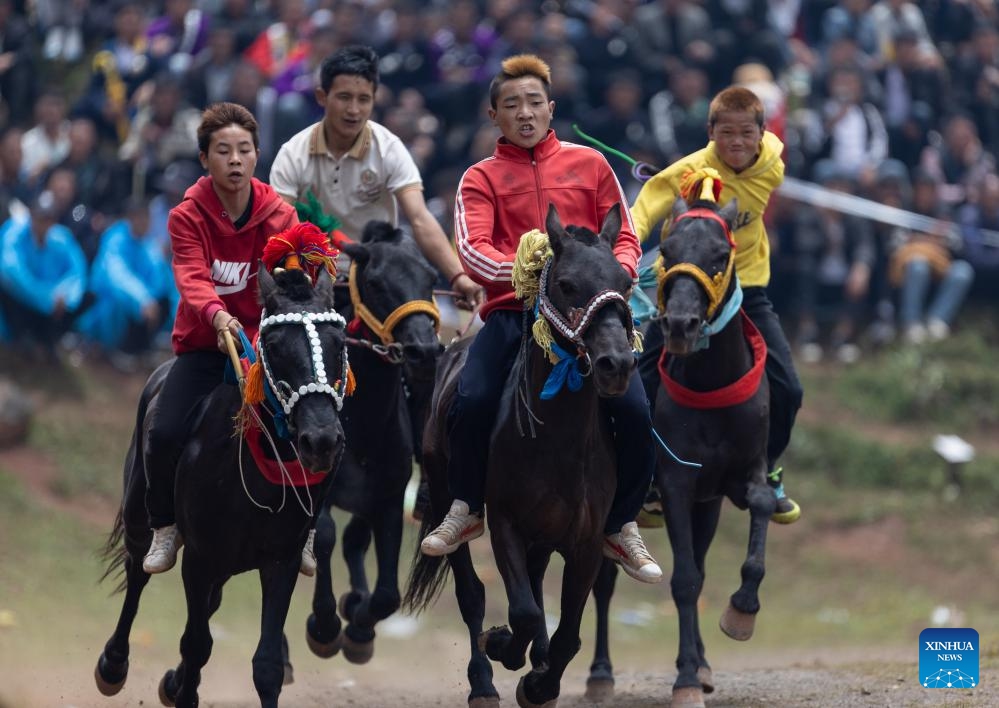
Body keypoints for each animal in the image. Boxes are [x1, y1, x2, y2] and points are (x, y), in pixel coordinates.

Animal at [94, 266, 350, 708]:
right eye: (274, 345)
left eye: (339, 342)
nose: (321, 440)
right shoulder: (200, 559)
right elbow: (197, 644)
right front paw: (182, 688)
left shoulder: (280, 559)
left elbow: (266, 664)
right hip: (139, 516)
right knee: (138, 573)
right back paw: (114, 664)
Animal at [300, 220, 442, 664]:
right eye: (377, 282)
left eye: (430, 279)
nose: (423, 351)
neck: (361, 422)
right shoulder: (320, 492)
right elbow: (324, 537)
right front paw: (325, 625)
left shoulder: (389, 497)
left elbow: (387, 595)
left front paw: (358, 624)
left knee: (355, 540)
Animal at [404, 203, 632, 708]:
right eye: (566, 284)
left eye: (625, 283)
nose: (617, 364)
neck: (560, 441)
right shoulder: (506, 520)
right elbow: (523, 611)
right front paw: (504, 649)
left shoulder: (586, 541)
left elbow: (567, 634)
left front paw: (540, 681)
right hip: (447, 494)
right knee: (472, 593)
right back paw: (484, 682)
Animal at [584, 195, 772, 708]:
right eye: (667, 250)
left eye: (721, 255)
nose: (682, 325)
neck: (711, 388)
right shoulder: (674, 484)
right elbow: (685, 580)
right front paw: (685, 679)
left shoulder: (737, 475)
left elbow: (761, 505)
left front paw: (741, 611)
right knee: (603, 585)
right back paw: (600, 674)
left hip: (707, 506)